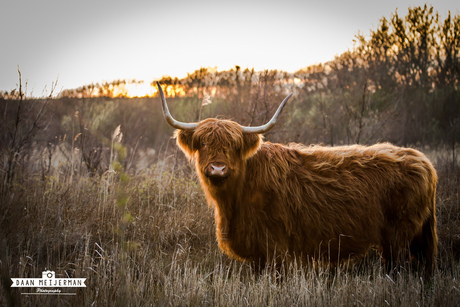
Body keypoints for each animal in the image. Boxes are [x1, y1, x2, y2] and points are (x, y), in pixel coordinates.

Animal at [157, 82, 438, 274]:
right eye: (203, 143)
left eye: (234, 146)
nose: (217, 169)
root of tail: (422, 160)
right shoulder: (259, 254)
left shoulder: (276, 249)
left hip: (398, 236)